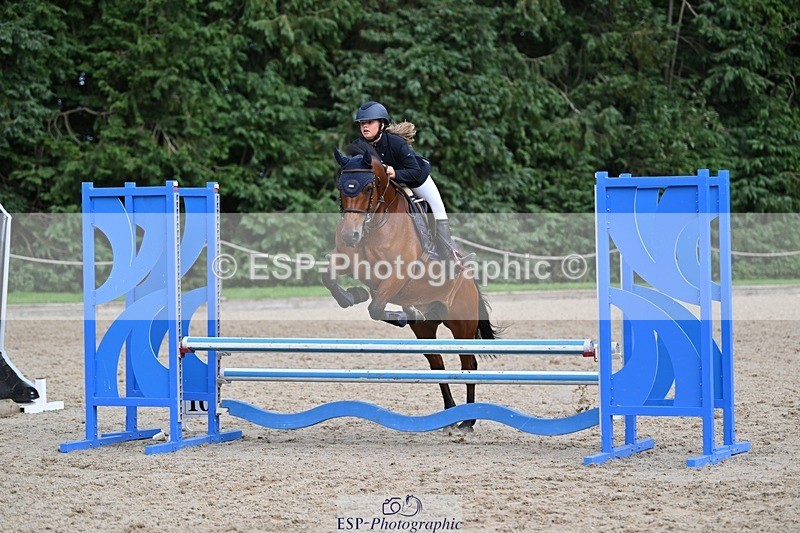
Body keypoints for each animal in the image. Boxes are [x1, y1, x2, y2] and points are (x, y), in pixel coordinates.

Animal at [323, 147, 500, 430]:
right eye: (341, 186)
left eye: (368, 186)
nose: (351, 235)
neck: (374, 223)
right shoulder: (351, 263)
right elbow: (330, 279)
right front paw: (354, 295)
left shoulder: (397, 274)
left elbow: (375, 307)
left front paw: (399, 314)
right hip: (427, 328)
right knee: (437, 363)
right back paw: (449, 416)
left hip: (461, 323)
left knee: (468, 362)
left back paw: (468, 420)